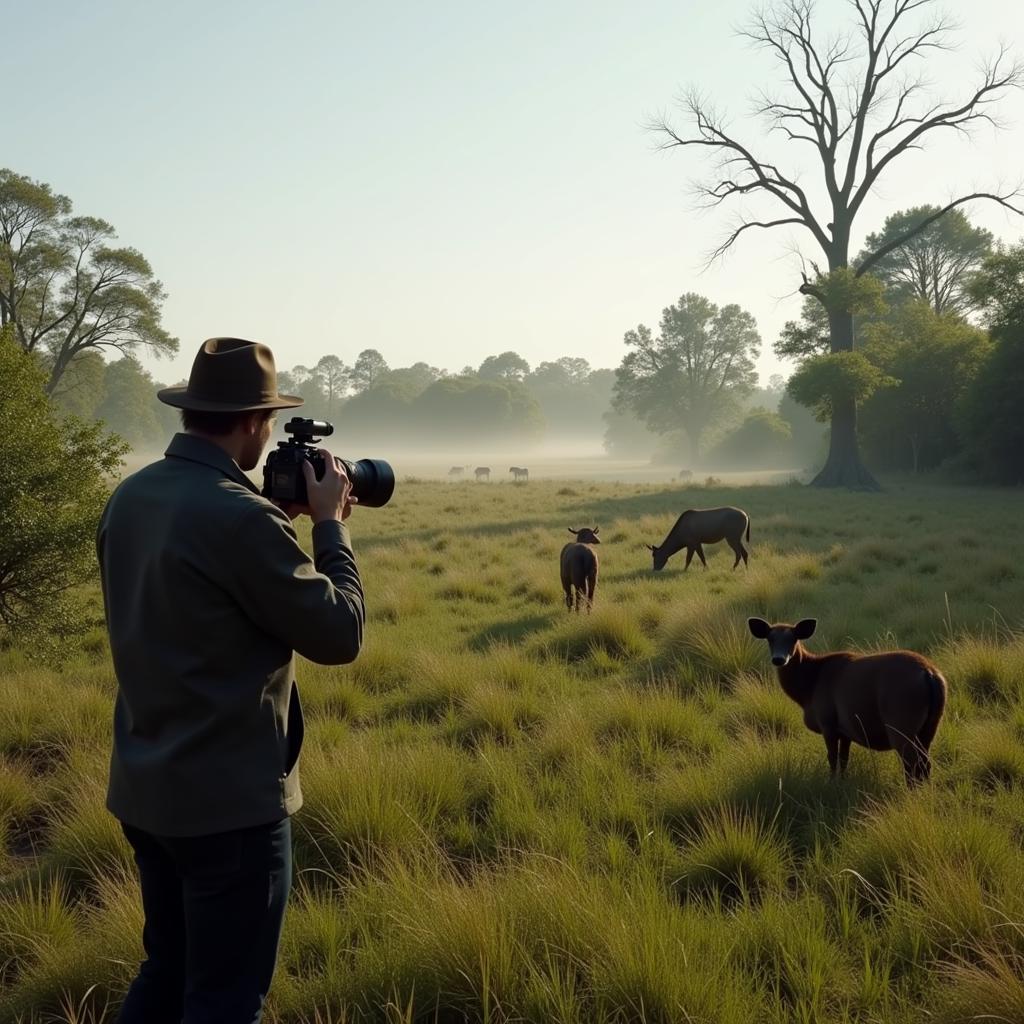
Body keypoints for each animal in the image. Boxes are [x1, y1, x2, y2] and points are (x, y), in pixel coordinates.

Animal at [745, 614, 950, 782]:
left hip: (901, 720)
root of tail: (930, 673)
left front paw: (831, 783)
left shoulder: (827, 721)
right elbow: (844, 759)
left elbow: (832, 758)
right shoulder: (845, 729)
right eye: (770, 639)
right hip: (930, 725)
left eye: (793, 638)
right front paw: (842, 782)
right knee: (925, 763)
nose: (779, 659)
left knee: (913, 764)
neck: (809, 690)